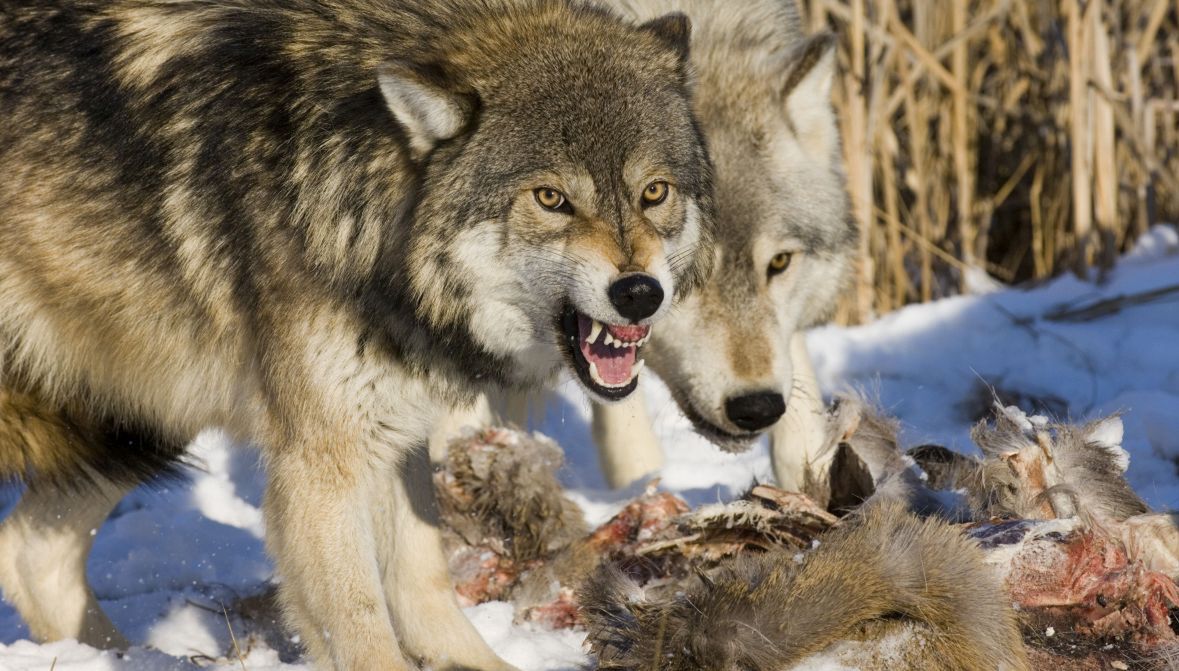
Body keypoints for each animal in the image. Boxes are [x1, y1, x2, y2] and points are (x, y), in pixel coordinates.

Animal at [0, 2, 712, 665]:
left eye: (654, 192)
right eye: (551, 198)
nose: (640, 293)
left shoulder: (395, 432)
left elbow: (423, 586)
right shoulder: (322, 461)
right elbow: (361, 622)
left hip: (141, 419)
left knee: (27, 550)